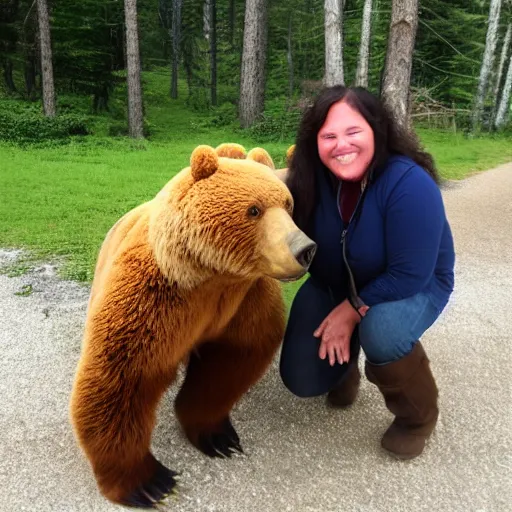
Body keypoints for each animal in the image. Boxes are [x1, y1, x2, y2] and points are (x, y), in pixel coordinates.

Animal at [68, 143, 316, 508]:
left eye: (288, 204)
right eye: (253, 210)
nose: (305, 249)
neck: (209, 277)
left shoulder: (242, 301)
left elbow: (230, 361)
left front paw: (218, 438)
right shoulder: (154, 299)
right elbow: (122, 375)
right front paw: (151, 483)